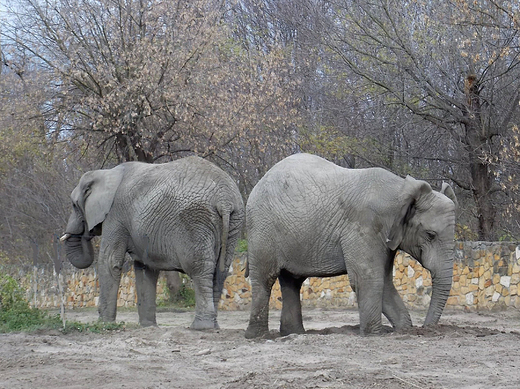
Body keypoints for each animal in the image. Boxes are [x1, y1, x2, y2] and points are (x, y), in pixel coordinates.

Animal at [61, 156, 246, 328]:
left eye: (74, 205)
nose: (86, 233)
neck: (106, 173)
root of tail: (224, 199)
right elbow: (145, 267)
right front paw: (148, 326)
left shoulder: (115, 215)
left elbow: (110, 261)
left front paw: (104, 324)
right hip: (234, 220)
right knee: (221, 270)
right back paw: (213, 326)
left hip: (196, 219)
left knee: (200, 268)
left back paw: (201, 327)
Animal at [244, 152, 456, 336]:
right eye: (430, 235)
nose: (427, 329)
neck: (401, 189)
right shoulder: (364, 226)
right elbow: (368, 278)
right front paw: (374, 335)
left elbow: (384, 280)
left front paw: (403, 330)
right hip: (262, 228)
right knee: (265, 279)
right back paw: (257, 336)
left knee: (292, 282)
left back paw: (293, 333)